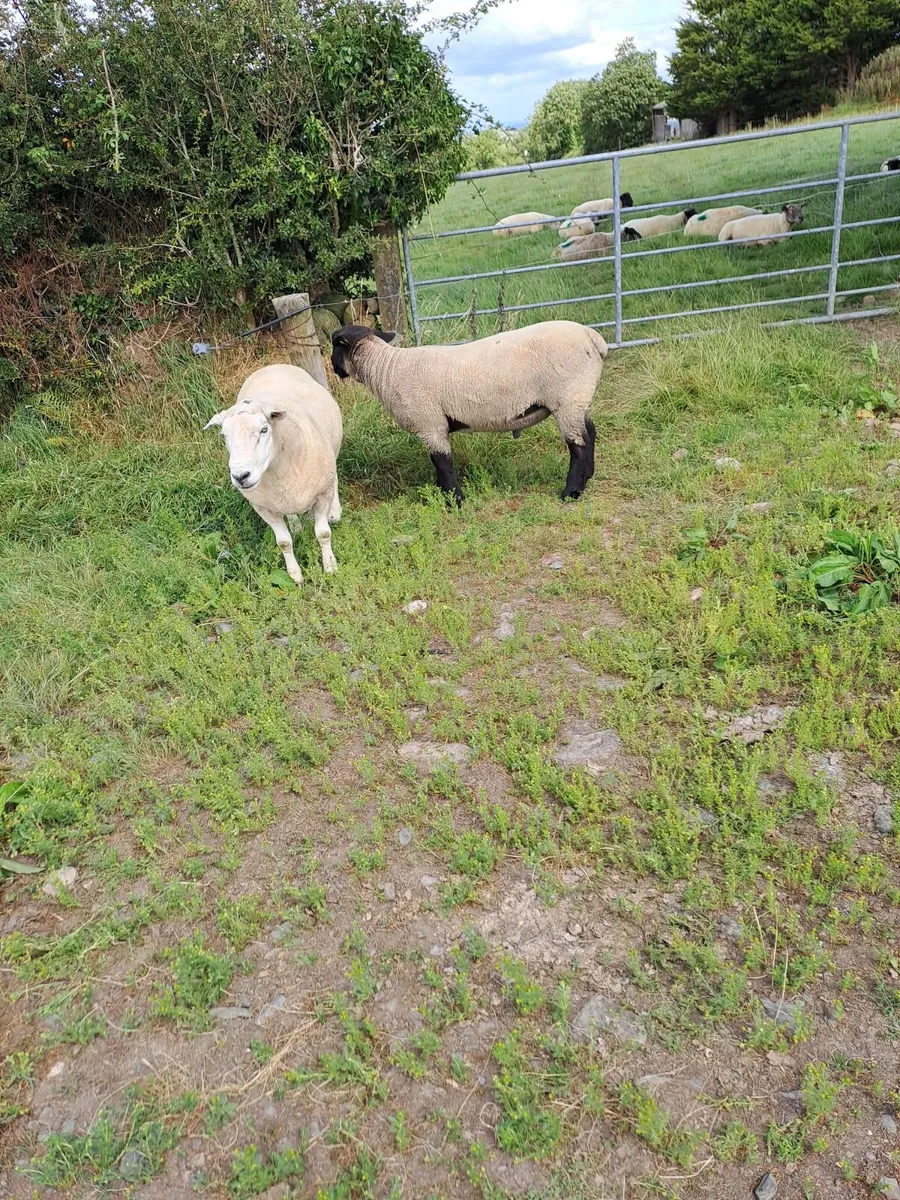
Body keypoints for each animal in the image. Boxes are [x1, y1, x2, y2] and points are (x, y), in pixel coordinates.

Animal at [203, 364, 343, 586]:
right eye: (224, 435)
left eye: (263, 430)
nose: (241, 476)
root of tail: (272, 365)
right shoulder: (263, 507)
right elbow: (284, 542)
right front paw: (295, 577)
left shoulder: (322, 493)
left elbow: (323, 533)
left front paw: (330, 567)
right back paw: (295, 525)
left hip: (332, 452)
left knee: (334, 476)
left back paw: (335, 512)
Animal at [331, 321, 608, 502]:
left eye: (335, 345)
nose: (333, 368)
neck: (386, 368)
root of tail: (592, 337)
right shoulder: (432, 426)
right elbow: (438, 462)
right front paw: (442, 493)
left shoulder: (430, 423)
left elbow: (442, 462)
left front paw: (453, 500)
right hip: (578, 398)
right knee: (590, 432)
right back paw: (588, 476)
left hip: (568, 396)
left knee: (579, 444)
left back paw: (572, 492)